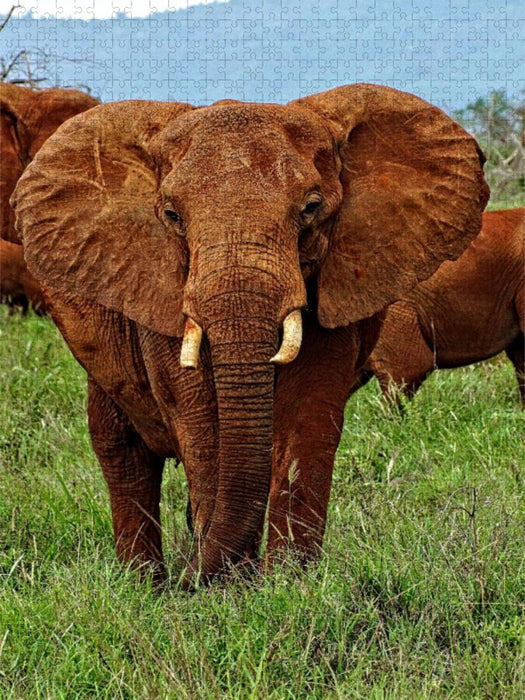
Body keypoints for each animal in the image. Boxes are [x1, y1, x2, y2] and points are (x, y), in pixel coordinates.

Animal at [11, 83, 489, 587]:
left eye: (311, 208)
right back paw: (145, 585)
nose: (190, 578)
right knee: (120, 449)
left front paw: (289, 582)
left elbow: (307, 411)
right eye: (171, 215)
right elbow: (200, 420)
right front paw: (228, 589)